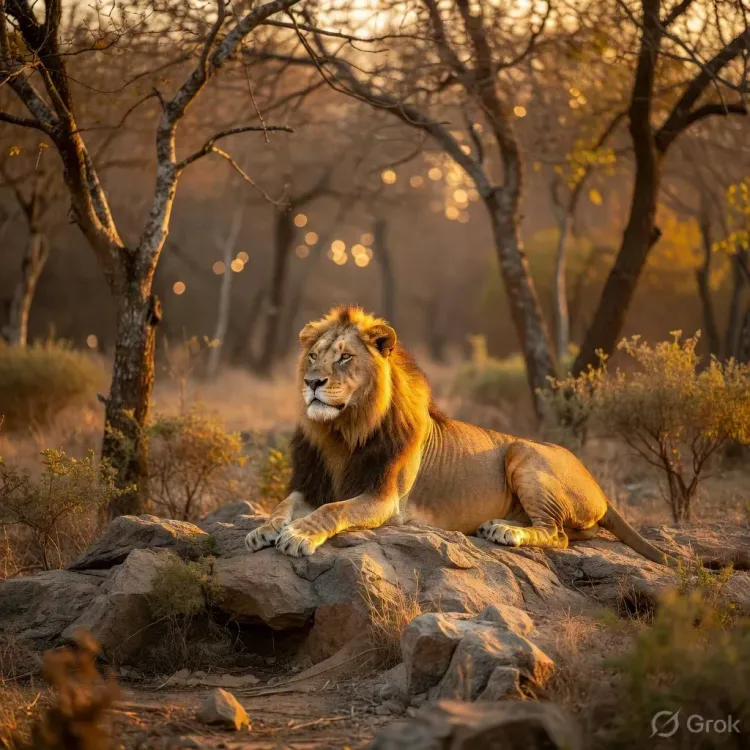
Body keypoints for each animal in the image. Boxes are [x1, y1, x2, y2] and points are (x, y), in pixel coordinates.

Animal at [245, 305, 670, 565]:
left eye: (345, 357)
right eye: (313, 356)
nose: (311, 382)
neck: (343, 431)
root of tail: (599, 487)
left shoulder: (385, 498)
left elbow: (334, 509)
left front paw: (299, 534)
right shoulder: (313, 482)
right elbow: (284, 502)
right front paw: (264, 529)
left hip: (523, 453)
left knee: (556, 534)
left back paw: (504, 531)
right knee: (568, 533)